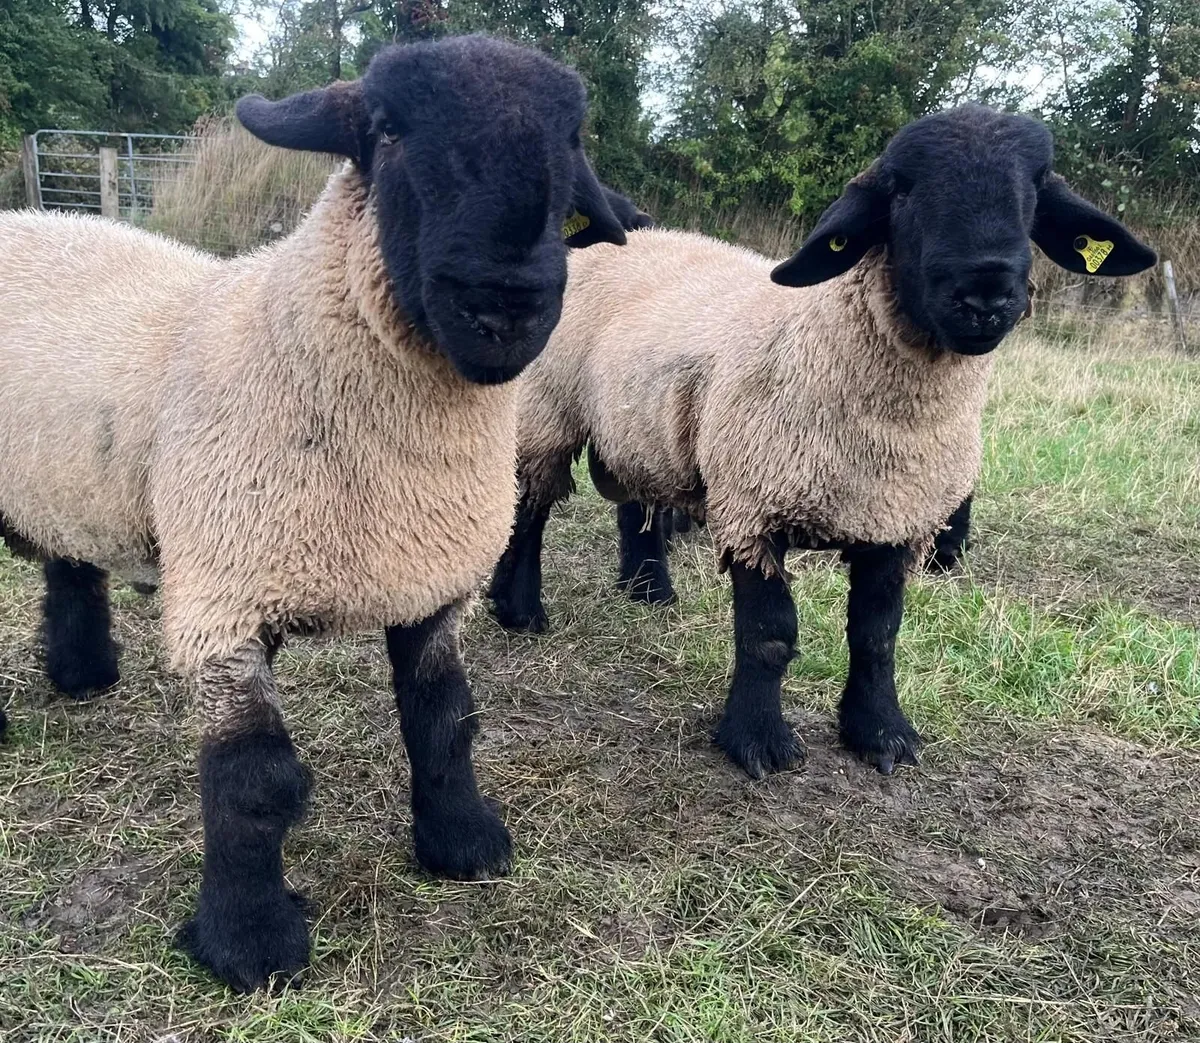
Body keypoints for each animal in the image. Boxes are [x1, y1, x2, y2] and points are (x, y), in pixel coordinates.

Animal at [0, 34, 635, 991]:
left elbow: (445, 720)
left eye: (572, 139)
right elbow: (254, 779)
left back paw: (83, 674)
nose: (507, 302)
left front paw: (463, 844)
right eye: (387, 127)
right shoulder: (224, 595)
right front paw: (249, 942)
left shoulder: (431, 573)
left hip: (67, 474)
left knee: (68, 557)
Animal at [488, 104, 1155, 780]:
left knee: (635, 499)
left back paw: (649, 591)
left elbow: (877, 635)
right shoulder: (752, 507)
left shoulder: (897, 517)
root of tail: (629, 237)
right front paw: (757, 741)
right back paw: (518, 608)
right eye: (901, 190)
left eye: (1037, 191)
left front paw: (880, 733)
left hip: (640, 422)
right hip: (547, 410)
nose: (987, 296)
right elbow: (770, 634)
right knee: (531, 507)